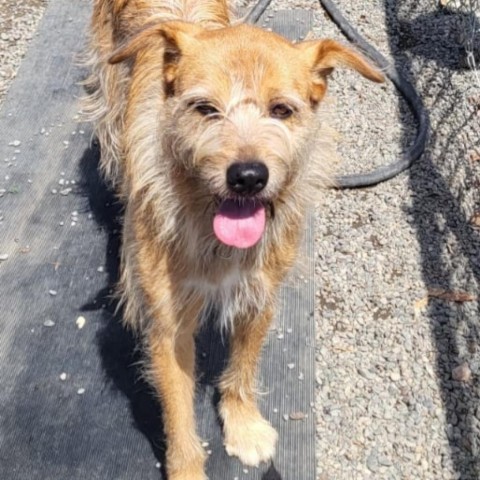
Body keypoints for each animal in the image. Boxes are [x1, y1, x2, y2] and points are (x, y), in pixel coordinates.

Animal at [84, 1, 384, 478]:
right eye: (205, 108)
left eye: (281, 110)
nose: (247, 176)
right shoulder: (168, 323)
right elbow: (178, 410)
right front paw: (187, 468)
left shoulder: (259, 293)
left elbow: (243, 364)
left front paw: (243, 425)